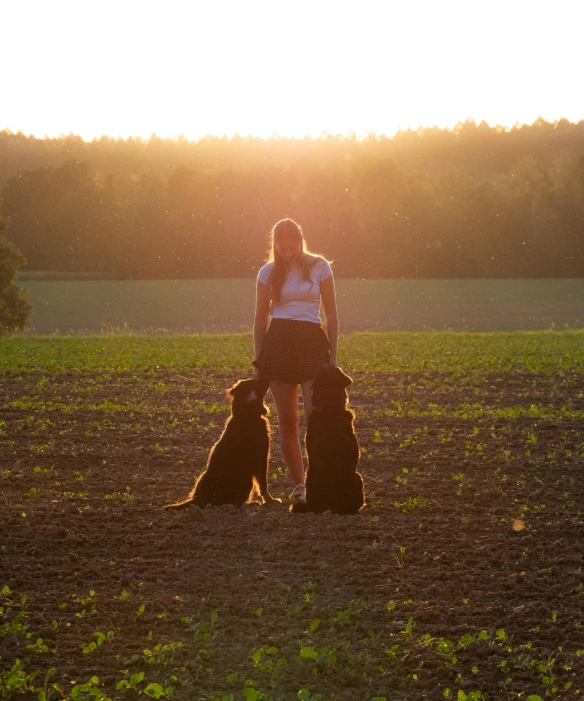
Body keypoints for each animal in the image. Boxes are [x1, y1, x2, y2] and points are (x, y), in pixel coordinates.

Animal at [162, 378, 276, 508]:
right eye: (255, 382)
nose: (267, 378)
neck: (246, 416)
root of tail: (196, 500)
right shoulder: (262, 457)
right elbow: (263, 484)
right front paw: (270, 500)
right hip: (247, 482)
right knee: (233, 503)